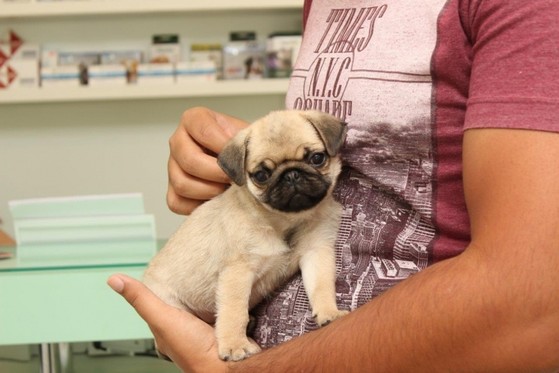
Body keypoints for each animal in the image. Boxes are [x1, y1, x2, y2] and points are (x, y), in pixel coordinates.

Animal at [142, 108, 348, 360]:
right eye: (261, 175)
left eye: (317, 158)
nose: (291, 175)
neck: (284, 221)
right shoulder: (238, 272)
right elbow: (234, 311)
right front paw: (235, 346)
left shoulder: (316, 252)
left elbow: (321, 285)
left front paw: (330, 313)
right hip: (168, 298)